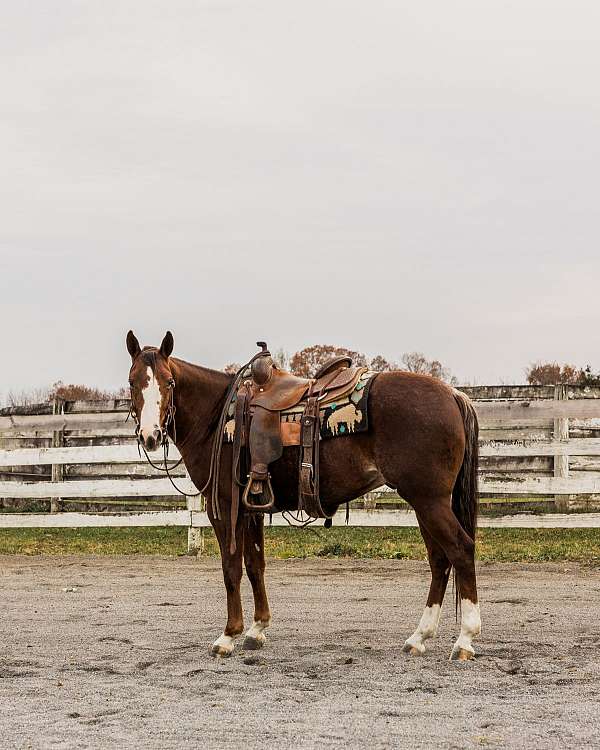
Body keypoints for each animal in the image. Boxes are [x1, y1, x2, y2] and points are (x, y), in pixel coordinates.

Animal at [126, 332, 482, 660]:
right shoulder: (253, 508)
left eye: (169, 381)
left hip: (429, 500)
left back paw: (465, 639)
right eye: (132, 382)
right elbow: (255, 564)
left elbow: (231, 567)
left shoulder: (226, 507)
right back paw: (419, 637)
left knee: (461, 551)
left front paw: (228, 636)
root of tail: (452, 394)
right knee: (439, 560)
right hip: (425, 503)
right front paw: (257, 629)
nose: (150, 436)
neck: (216, 419)